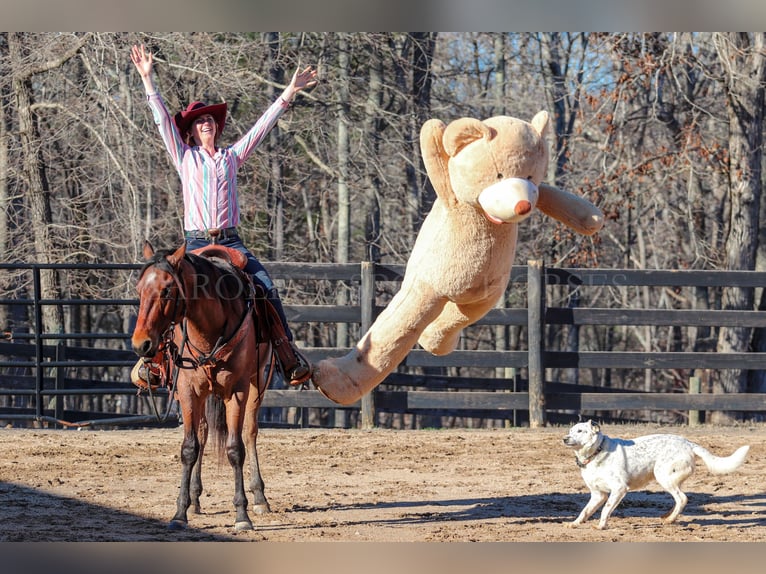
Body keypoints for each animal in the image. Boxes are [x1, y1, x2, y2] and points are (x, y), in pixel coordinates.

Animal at [133, 241, 276, 532]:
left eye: (167, 290)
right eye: (139, 289)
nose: (141, 344)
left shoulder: (238, 391)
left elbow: (235, 449)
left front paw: (242, 515)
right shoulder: (188, 391)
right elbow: (189, 448)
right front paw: (180, 512)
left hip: (258, 383)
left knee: (250, 433)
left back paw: (259, 498)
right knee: (202, 433)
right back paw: (195, 499)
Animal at [564, 420, 752, 532]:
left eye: (580, 431)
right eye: (570, 430)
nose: (565, 439)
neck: (597, 452)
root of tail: (688, 443)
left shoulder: (619, 489)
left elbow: (605, 509)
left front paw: (601, 526)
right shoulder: (598, 494)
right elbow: (585, 511)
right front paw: (575, 523)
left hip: (663, 476)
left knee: (682, 498)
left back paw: (670, 520)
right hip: (672, 478)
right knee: (680, 499)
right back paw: (667, 516)